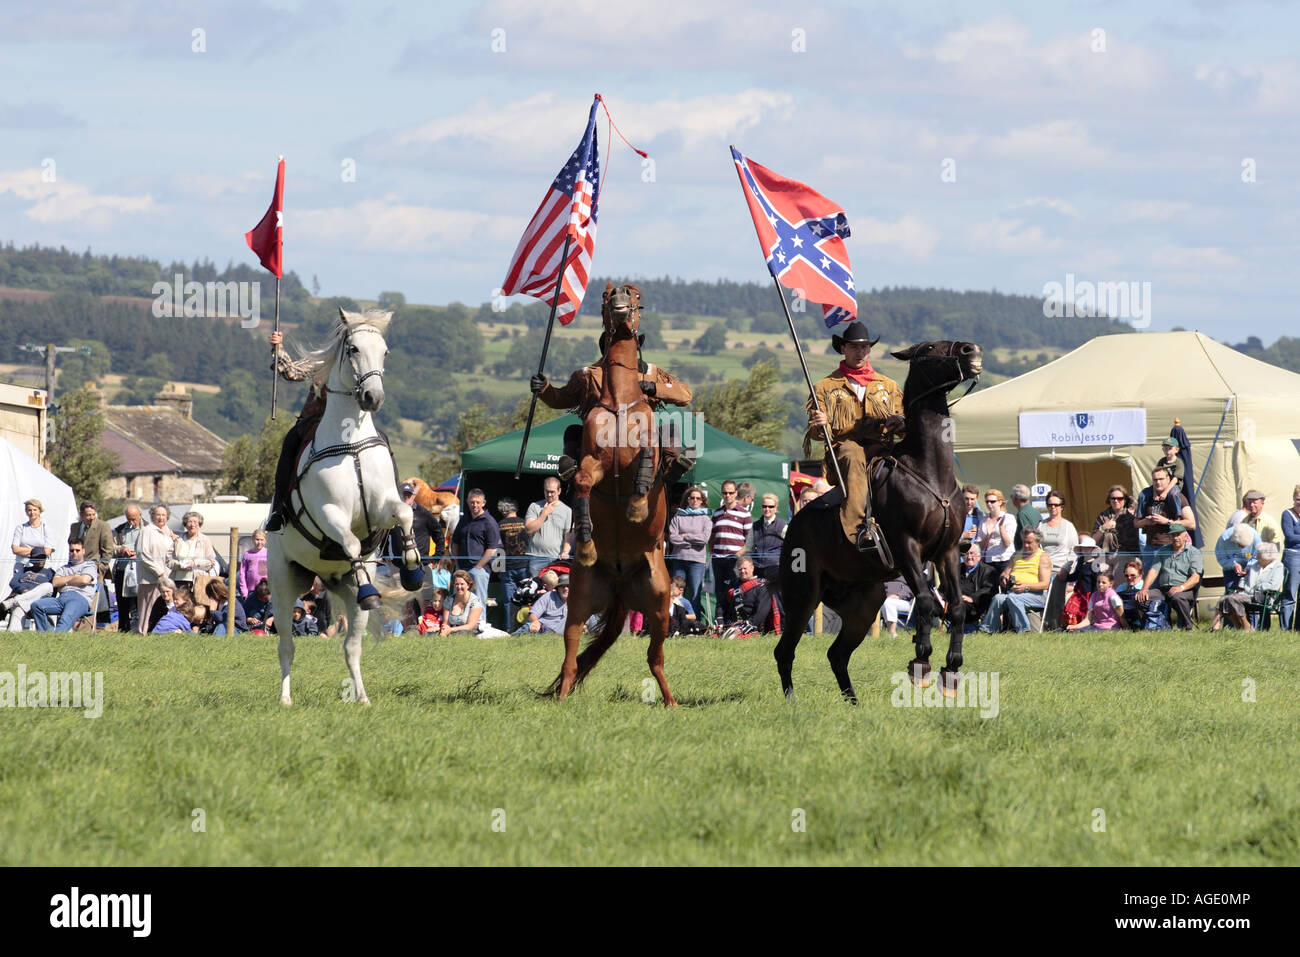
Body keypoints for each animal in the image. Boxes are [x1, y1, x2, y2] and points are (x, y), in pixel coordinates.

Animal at [267, 310, 421, 707]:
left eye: (385, 351)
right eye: (352, 349)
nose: (372, 397)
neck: (350, 442)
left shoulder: (382, 508)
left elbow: (405, 514)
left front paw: (413, 569)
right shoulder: (329, 512)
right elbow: (350, 542)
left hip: (344, 594)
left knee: (352, 647)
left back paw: (362, 697)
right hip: (284, 584)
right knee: (286, 647)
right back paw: (285, 699)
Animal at [540, 282, 676, 702]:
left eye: (635, 295)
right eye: (607, 294)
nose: (619, 302)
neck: (619, 402)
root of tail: (619, 586)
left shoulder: (644, 450)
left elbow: (648, 454)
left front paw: (637, 506)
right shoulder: (594, 463)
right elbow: (583, 480)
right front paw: (585, 542)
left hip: (660, 605)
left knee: (656, 658)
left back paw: (671, 702)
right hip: (580, 601)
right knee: (570, 655)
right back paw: (561, 698)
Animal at [774, 340, 977, 696]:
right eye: (930, 347)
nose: (969, 349)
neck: (930, 472)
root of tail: (794, 524)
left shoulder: (948, 551)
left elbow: (956, 605)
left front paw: (951, 669)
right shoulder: (907, 547)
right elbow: (926, 601)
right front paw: (921, 663)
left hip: (863, 604)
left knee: (837, 654)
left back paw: (853, 702)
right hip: (802, 596)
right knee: (785, 652)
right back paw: (792, 701)